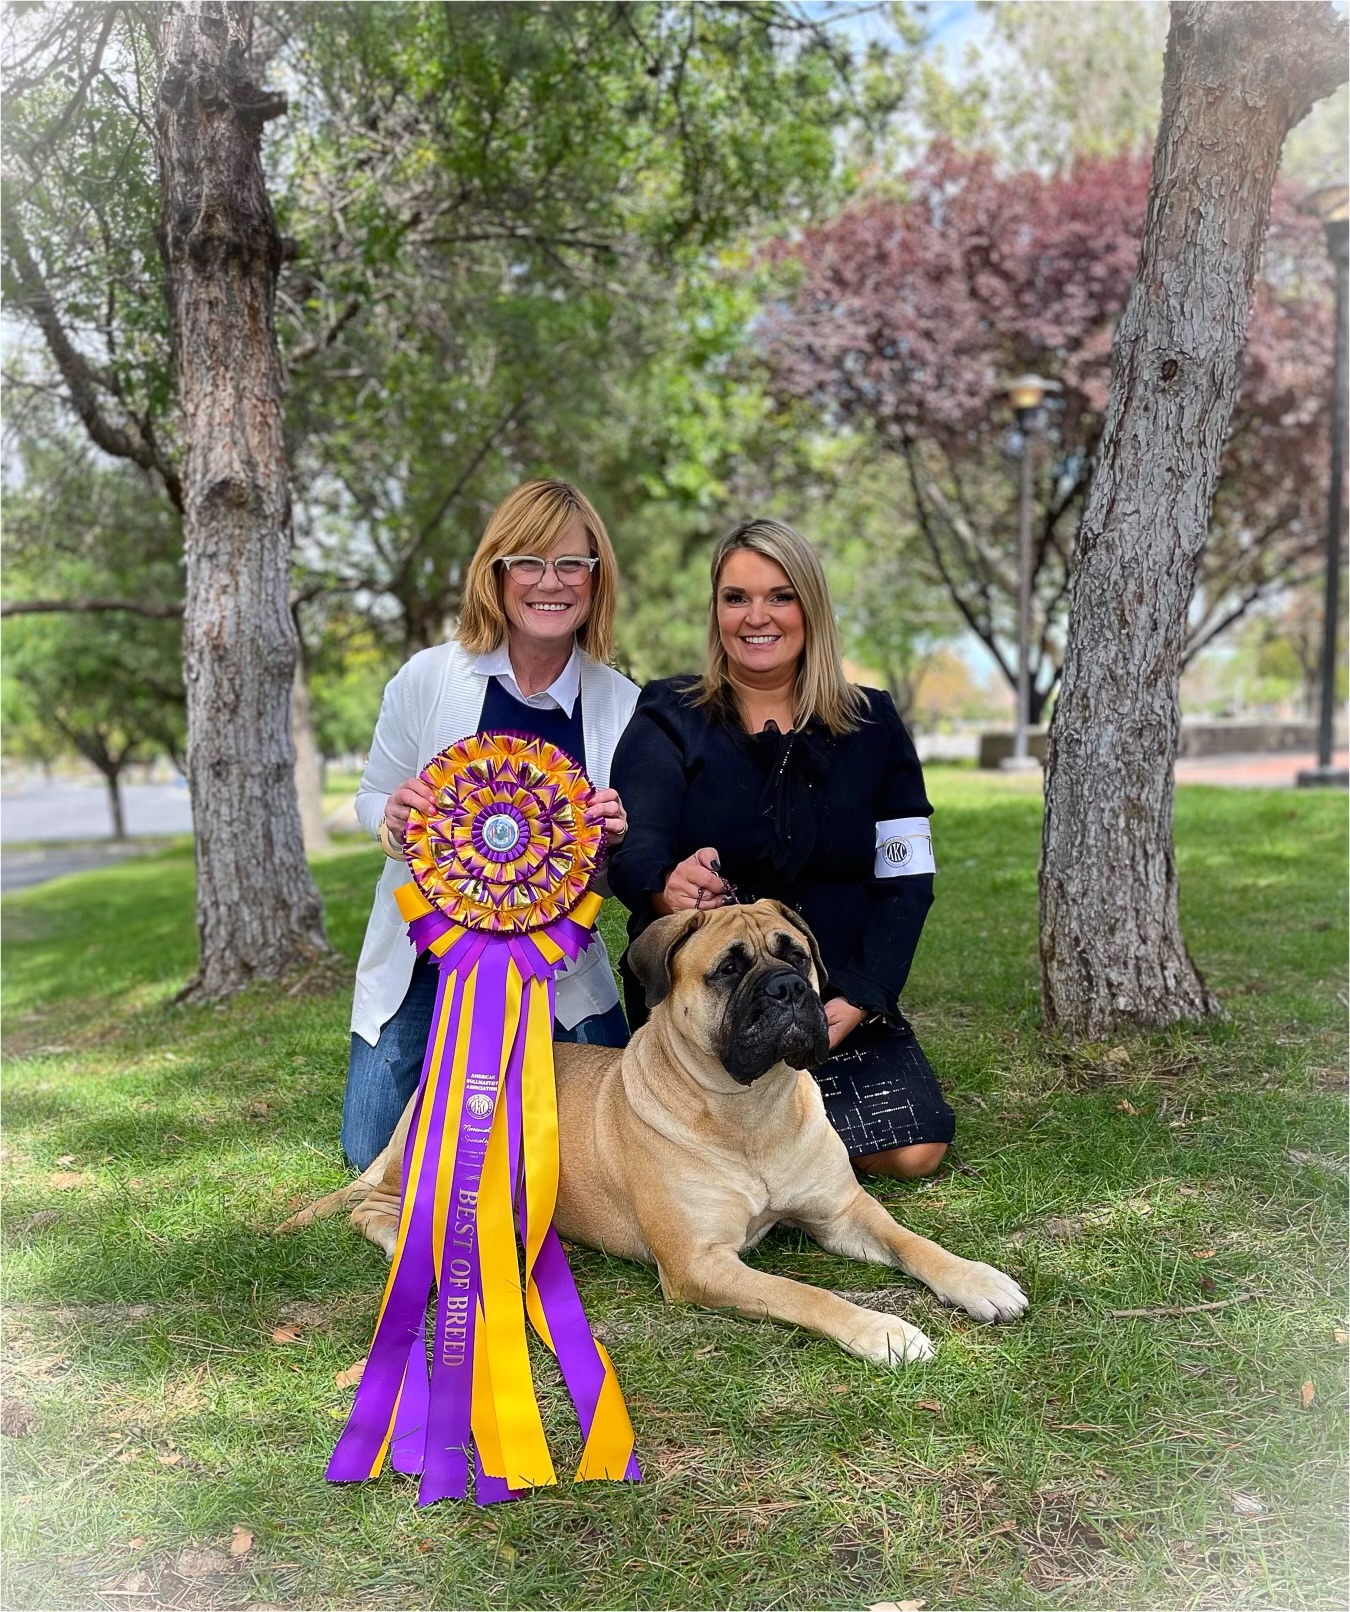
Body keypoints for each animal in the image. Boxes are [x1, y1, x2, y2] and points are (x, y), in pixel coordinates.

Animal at [284, 900, 1026, 1364]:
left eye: (796, 956)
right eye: (729, 969)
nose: (788, 989)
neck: (748, 1111)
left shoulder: (841, 1211)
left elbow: (912, 1241)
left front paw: (977, 1279)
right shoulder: (701, 1263)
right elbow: (805, 1293)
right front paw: (883, 1330)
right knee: (376, 1211)